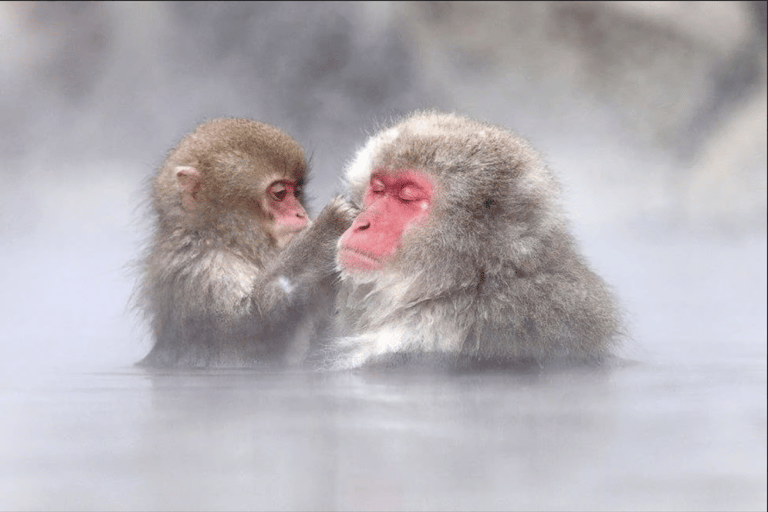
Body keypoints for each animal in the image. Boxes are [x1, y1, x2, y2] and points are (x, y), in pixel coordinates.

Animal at [134, 118, 355, 368]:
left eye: (297, 192)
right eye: (280, 193)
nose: (301, 213)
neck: (225, 240)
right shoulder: (203, 269)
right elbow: (251, 326)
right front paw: (327, 228)